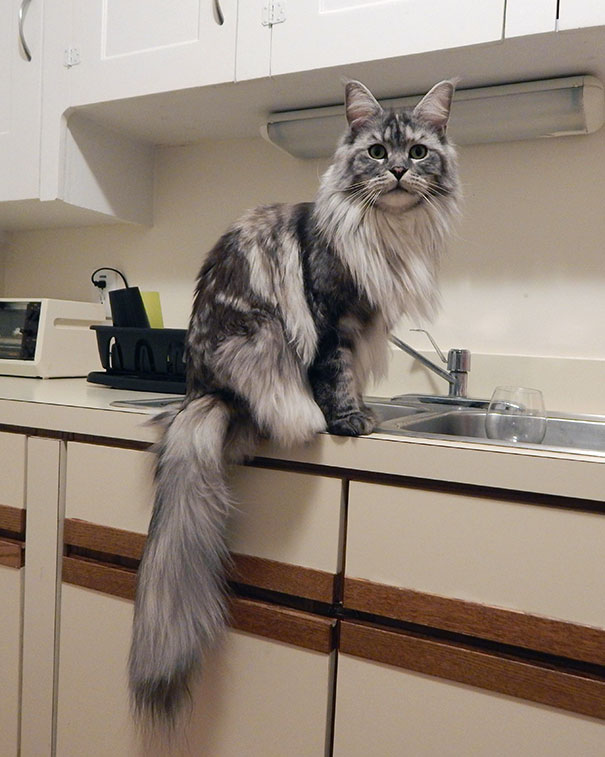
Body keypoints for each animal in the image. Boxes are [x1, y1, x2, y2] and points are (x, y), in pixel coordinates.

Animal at [127, 78, 458, 728]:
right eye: (377, 152)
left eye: (419, 152)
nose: (400, 171)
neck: (385, 234)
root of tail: (201, 392)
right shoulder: (332, 320)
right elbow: (334, 376)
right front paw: (348, 422)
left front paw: (364, 413)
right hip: (261, 338)